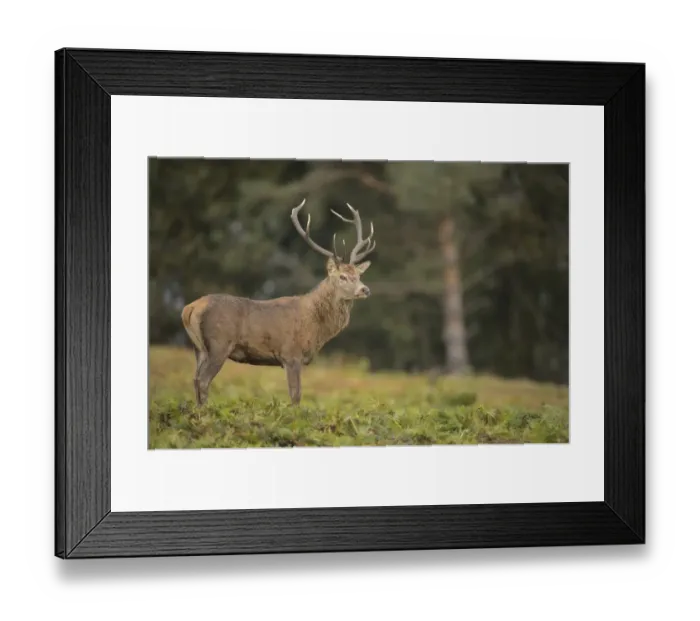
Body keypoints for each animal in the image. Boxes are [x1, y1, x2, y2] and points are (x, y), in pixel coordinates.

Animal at [180, 198, 377, 406]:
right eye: (342, 276)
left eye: (358, 275)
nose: (365, 289)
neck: (316, 326)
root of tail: (189, 309)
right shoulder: (291, 354)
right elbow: (295, 395)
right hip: (219, 344)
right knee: (203, 380)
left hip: (199, 348)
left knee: (195, 379)